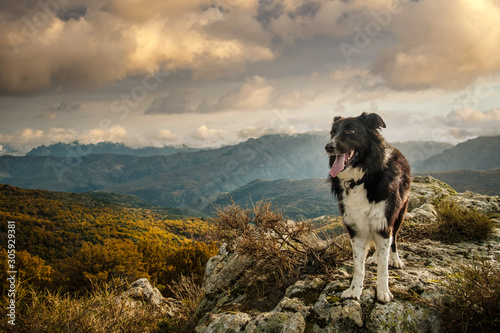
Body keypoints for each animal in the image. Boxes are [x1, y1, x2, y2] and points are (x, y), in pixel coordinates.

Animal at [326, 113, 412, 302]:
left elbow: (383, 268)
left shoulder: (383, 224)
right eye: (332, 132)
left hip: (399, 214)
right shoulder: (355, 229)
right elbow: (358, 266)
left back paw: (395, 259)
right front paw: (355, 290)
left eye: (350, 131)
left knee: (393, 239)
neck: (361, 179)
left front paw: (383, 291)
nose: (328, 147)